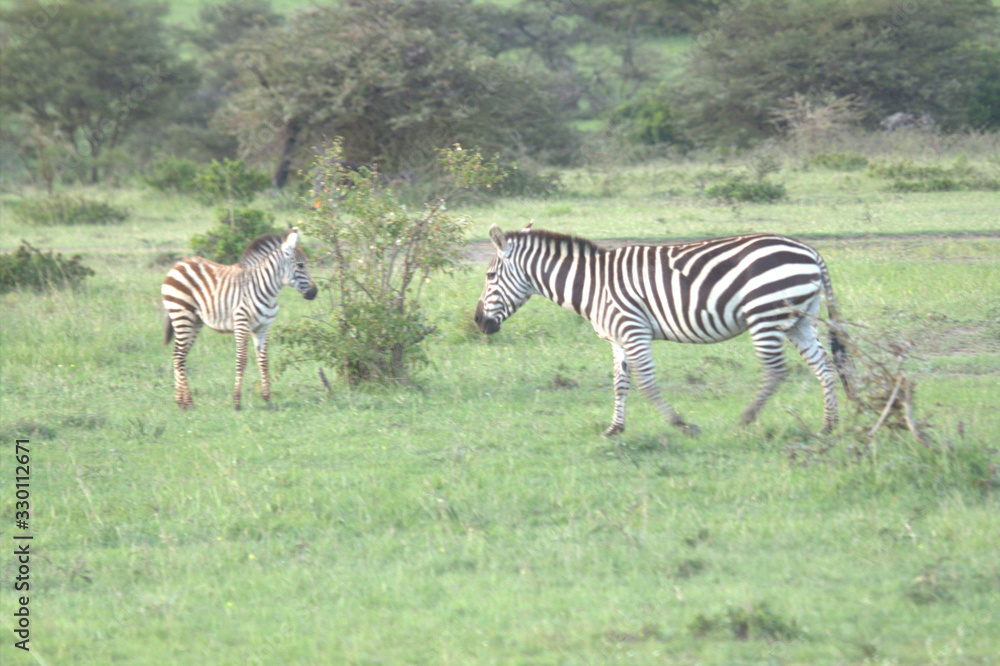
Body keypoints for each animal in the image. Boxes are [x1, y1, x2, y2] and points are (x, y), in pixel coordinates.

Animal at [162, 227, 318, 410]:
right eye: (300, 265)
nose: (314, 293)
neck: (267, 289)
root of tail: (179, 264)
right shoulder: (242, 322)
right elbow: (241, 360)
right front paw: (236, 401)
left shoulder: (264, 326)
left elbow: (263, 359)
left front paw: (267, 397)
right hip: (181, 314)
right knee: (179, 356)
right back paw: (188, 403)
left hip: (195, 321)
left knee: (179, 355)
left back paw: (181, 401)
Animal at [474, 224, 852, 435]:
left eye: (489, 276)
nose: (478, 322)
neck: (593, 284)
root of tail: (810, 251)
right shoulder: (618, 338)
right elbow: (621, 383)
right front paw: (615, 428)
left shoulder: (633, 329)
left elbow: (646, 383)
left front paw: (682, 425)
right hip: (800, 318)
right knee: (824, 366)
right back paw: (829, 425)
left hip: (766, 313)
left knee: (776, 370)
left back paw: (746, 420)